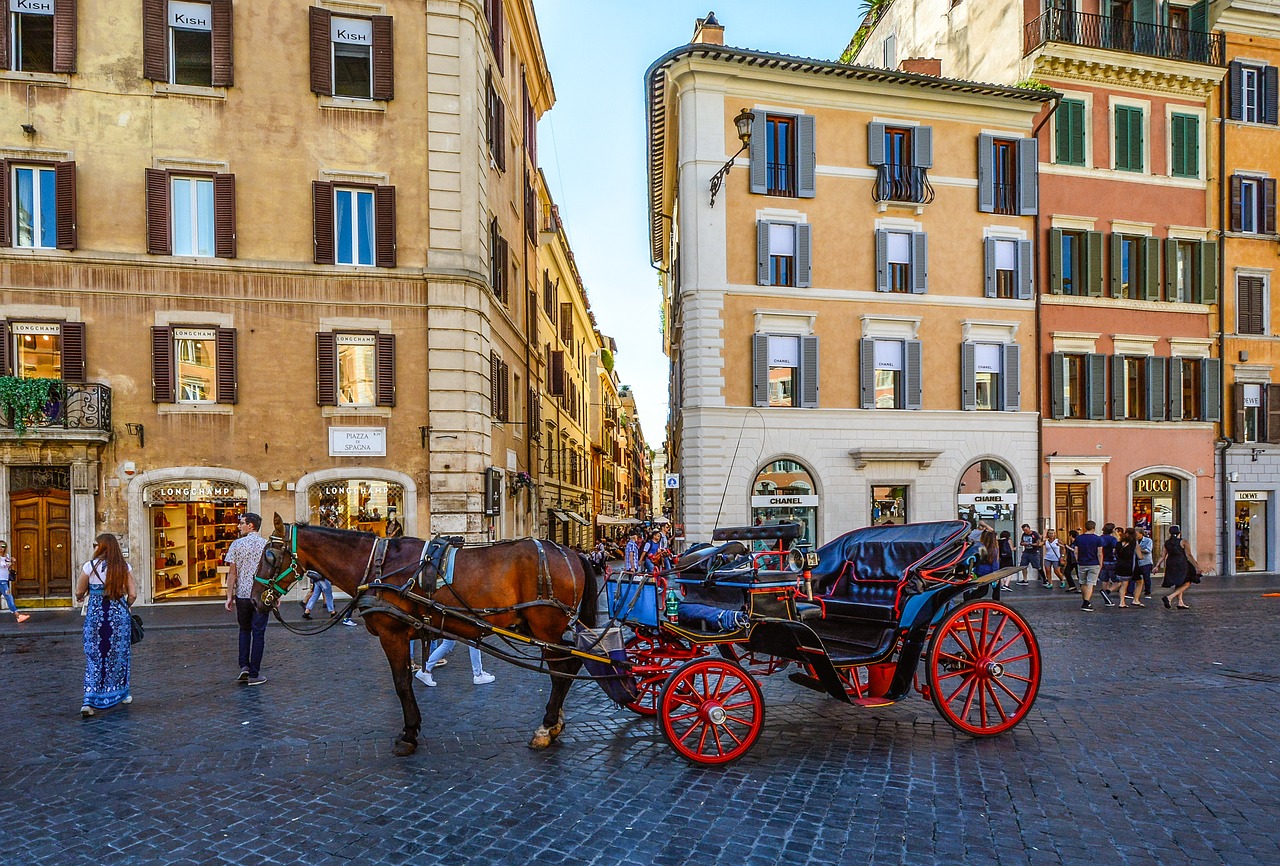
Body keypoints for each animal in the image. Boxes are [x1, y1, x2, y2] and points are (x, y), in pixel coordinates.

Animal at [254, 514, 604, 757]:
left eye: (269, 556)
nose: (256, 599)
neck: (377, 567)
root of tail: (572, 553)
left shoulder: (392, 634)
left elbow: (402, 684)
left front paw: (409, 734)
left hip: (547, 626)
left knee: (561, 672)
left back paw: (546, 727)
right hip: (541, 628)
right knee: (567, 667)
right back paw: (555, 722)